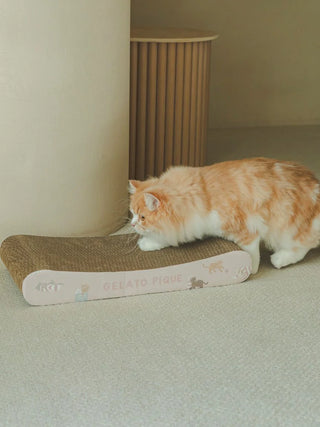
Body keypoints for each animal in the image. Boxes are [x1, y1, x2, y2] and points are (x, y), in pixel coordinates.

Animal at [129, 157, 320, 274]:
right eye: (132, 214)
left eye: (142, 217)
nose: (132, 224)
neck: (204, 194)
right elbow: (164, 238)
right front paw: (147, 244)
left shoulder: (246, 228)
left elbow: (251, 253)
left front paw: (250, 270)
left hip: (288, 228)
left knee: (302, 246)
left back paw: (279, 259)